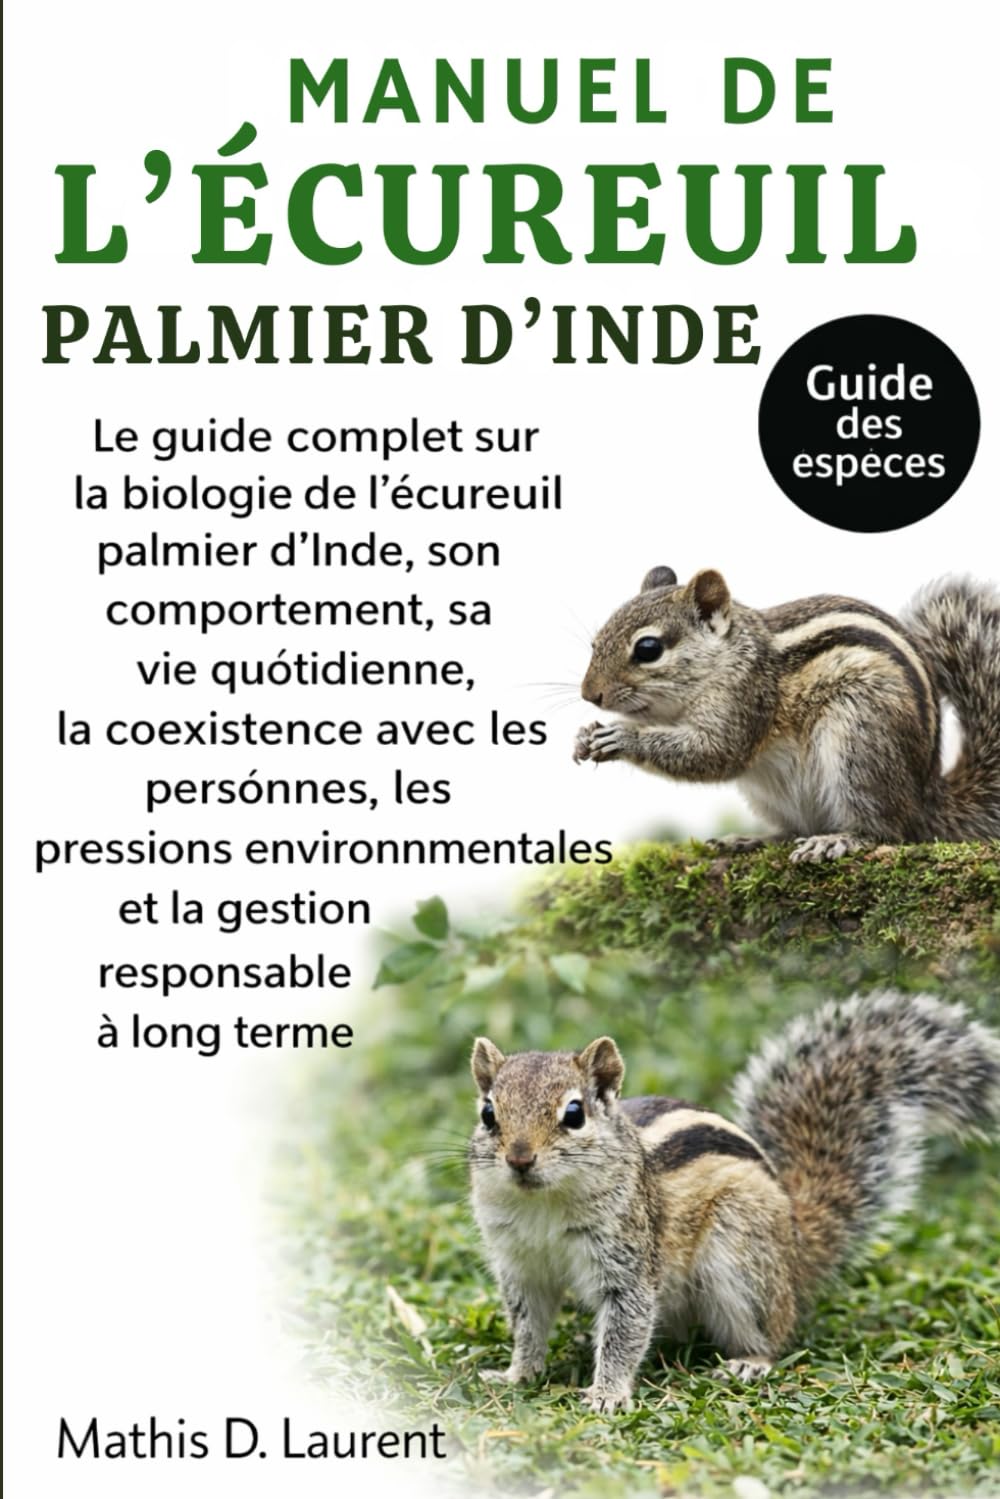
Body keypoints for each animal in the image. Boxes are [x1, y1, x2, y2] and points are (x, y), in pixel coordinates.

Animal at [469, 992, 1000, 1411]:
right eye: (488, 1113)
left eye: (575, 1114)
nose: (519, 1159)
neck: (544, 1204)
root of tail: (796, 1245)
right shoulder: (520, 1265)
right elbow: (528, 1325)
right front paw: (517, 1374)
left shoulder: (628, 1259)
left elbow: (626, 1325)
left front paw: (607, 1393)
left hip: (741, 1254)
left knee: (772, 1332)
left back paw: (749, 1362)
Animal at [573, 568, 1000, 861]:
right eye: (596, 642)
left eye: (648, 649)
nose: (589, 694)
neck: (725, 657)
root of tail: (925, 797)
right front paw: (585, 736)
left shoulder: (745, 700)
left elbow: (715, 754)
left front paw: (620, 737)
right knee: (794, 828)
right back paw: (749, 840)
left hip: (859, 744)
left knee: (888, 829)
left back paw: (841, 839)